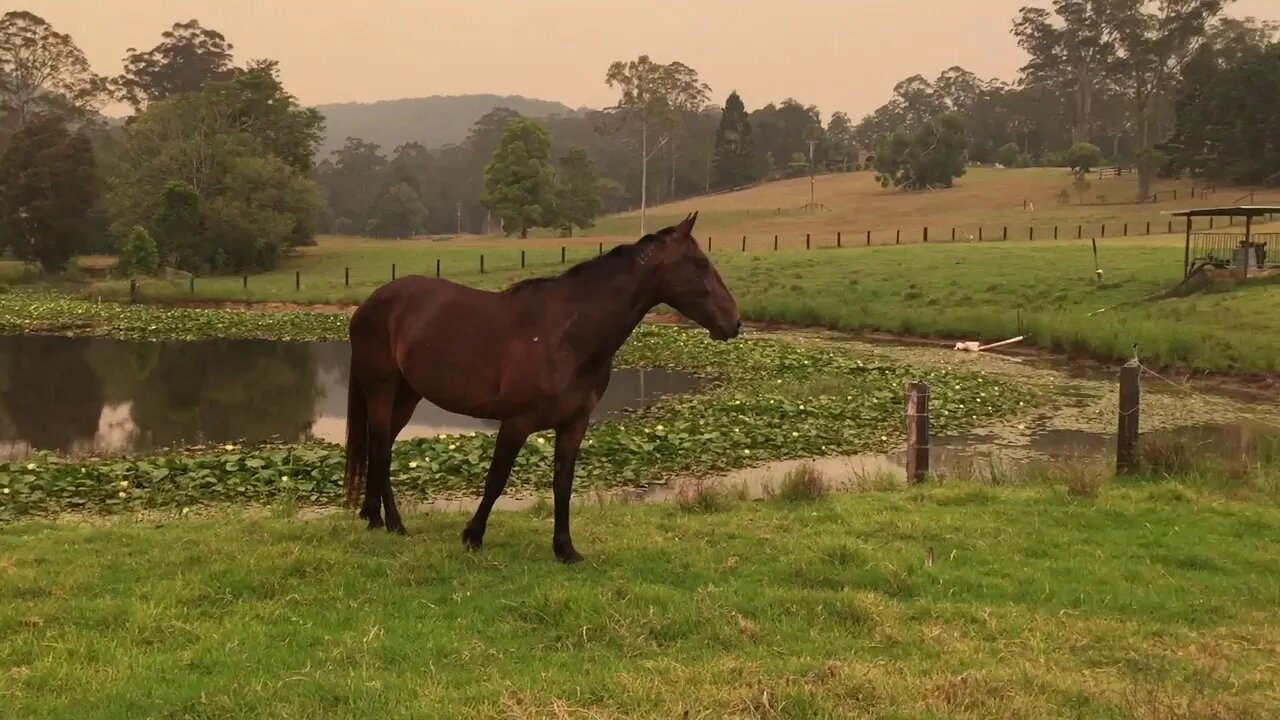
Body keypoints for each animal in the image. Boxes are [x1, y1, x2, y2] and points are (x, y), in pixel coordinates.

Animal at [345, 211, 742, 561]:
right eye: (701, 265)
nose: (734, 322)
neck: (568, 336)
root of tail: (368, 304)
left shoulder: (574, 425)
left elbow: (562, 484)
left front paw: (565, 549)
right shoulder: (516, 423)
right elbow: (496, 479)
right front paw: (473, 536)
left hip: (408, 394)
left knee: (381, 446)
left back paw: (375, 518)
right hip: (381, 389)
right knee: (380, 448)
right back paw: (392, 523)